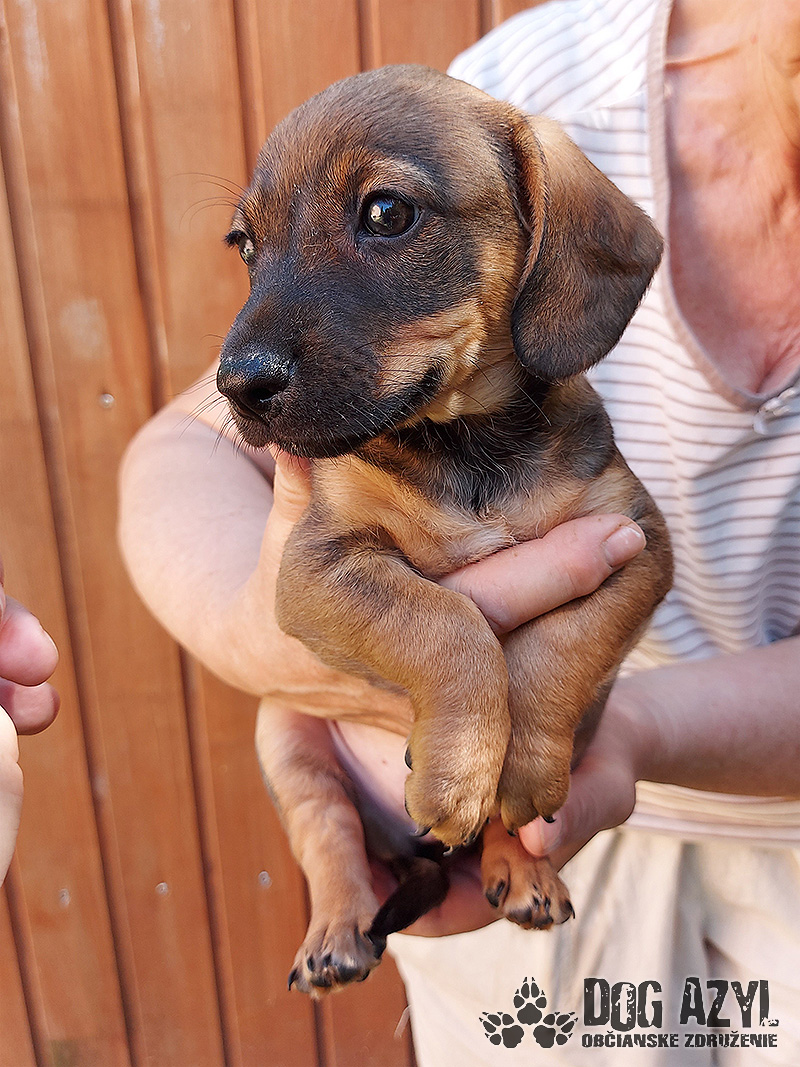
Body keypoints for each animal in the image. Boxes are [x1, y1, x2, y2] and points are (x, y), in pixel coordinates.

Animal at [216, 65, 672, 995]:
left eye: (387, 213)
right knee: (330, 840)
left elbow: (559, 646)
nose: (235, 385)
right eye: (244, 245)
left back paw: (522, 866)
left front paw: (518, 764)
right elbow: (446, 624)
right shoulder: (319, 567)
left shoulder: (637, 543)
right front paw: (458, 770)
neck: (464, 446)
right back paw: (335, 932)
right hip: (286, 740)